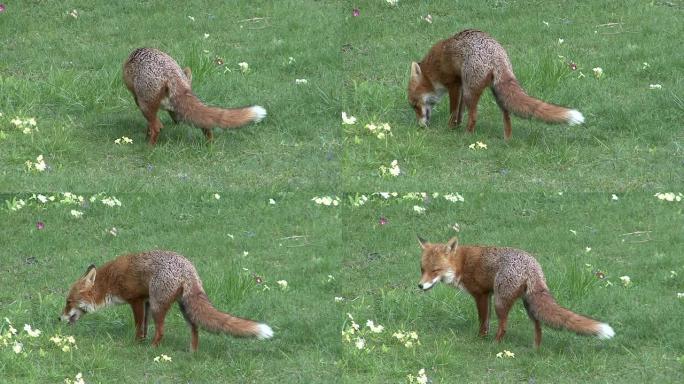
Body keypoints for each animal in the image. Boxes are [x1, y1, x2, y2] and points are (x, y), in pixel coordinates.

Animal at [59, 250, 272, 352]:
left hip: (158, 306)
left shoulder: (137, 300)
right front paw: (141, 341)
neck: (109, 282)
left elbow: (139, 326)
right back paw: (192, 352)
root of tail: (188, 269)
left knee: (161, 331)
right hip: (183, 307)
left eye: (68, 302)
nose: (59, 318)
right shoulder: (145, 301)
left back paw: (152, 349)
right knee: (195, 328)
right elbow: (144, 327)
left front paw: (136, 344)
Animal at [123, 47, 264, 144]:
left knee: (157, 127)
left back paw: (149, 149)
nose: (177, 121)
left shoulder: (139, 100)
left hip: (145, 106)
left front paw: (146, 137)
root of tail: (171, 74)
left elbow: (152, 126)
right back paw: (210, 146)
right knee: (206, 125)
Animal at [408, 29, 584, 140]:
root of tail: (497, 55)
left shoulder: (455, 85)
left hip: (471, 93)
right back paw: (507, 140)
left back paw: (467, 136)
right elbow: (459, 112)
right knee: (507, 115)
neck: (433, 69)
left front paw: (451, 129)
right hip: (496, 93)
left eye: (415, 105)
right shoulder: (461, 86)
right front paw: (456, 126)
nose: (420, 126)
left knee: (474, 117)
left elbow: (453, 112)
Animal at [416, 237, 616, 348]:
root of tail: (533, 267)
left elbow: (483, 321)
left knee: (504, 327)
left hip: (501, 302)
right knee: (539, 326)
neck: (462, 264)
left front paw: (480, 339)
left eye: (435, 270)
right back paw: (535, 348)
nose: (420, 286)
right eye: (422, 269)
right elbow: (486, 321)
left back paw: (495, 345)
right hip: (529, 304)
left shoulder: (481, 294)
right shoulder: (488, 295)